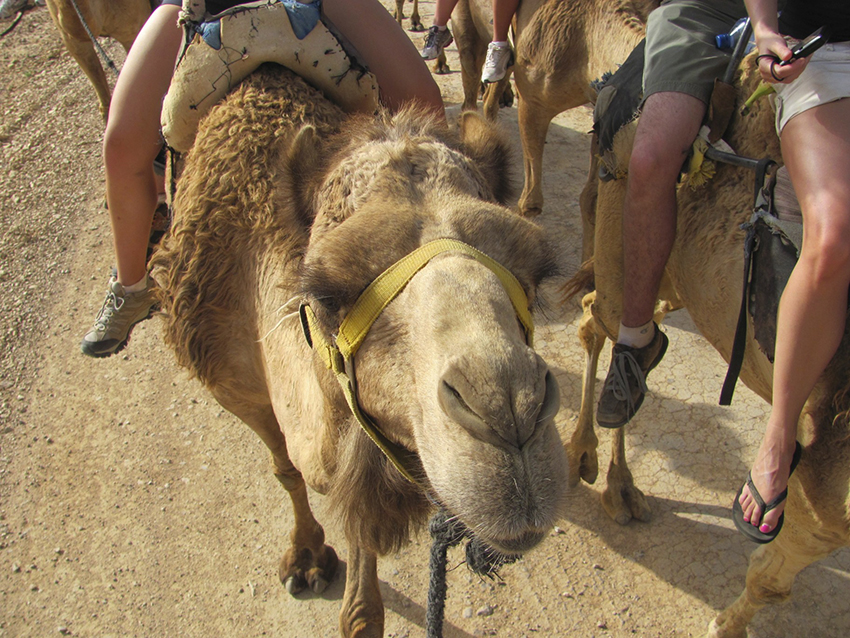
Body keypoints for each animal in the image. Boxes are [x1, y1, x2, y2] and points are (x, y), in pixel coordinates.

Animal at [151, 62, 568, 636]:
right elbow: (286, 469)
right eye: (326, 294)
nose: (511, 415)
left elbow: (362, 579)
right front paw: (305, 558)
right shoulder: (234, 389)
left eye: (538, 272)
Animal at [564, 48, 848, 638]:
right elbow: (770, 576)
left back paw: (615, 480)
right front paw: (724, 626)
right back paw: (599, 470)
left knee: (625, 328)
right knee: (602, 318)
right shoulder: (825, 485)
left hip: (679, 279)